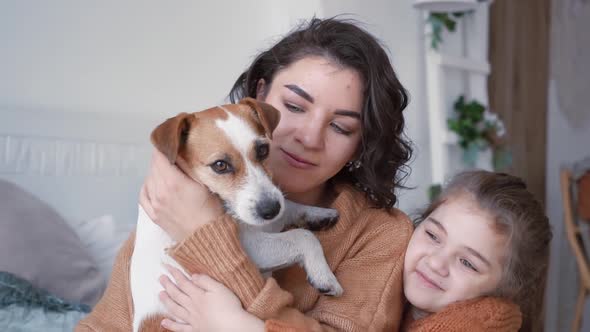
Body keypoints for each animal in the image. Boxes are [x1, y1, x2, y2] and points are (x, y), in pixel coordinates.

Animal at [130, 98, 342, 332]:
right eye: (220, 165)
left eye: (263, 150)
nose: (270, 210)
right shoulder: (248, 246)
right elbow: (302, 236)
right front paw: (324, 275)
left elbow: (289, 207)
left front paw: (319, 213)